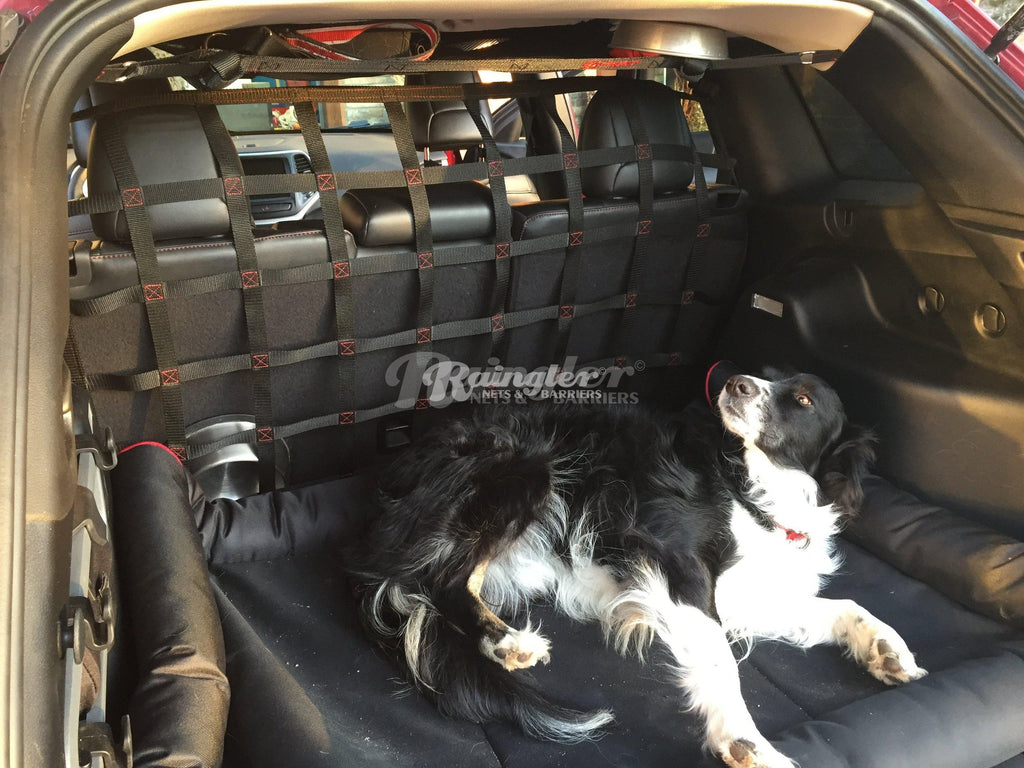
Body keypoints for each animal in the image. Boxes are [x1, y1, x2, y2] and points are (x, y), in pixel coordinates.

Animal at [350, 370, 927, 768]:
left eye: (803, 398)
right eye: (770, 375)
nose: (735, 382)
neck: (752, 486)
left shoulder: (743, 592)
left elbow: (843, 605)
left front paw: (886, 648)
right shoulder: (678, 563)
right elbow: (722, 661)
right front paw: (745, 739)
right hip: (523, 470)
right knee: (445, 582)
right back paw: (508, 641)